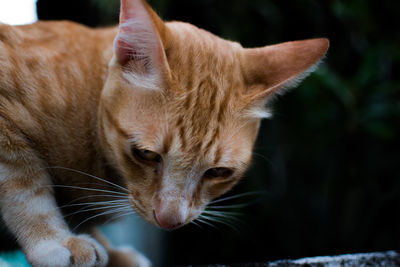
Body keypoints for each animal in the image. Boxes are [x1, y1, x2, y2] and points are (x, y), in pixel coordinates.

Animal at [0, 0, 328, 266]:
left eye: (218, 172)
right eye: (145, 154)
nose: (170, 221)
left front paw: (112, 253)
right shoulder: (6, 132)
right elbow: (25, 186)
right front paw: (54, 241)